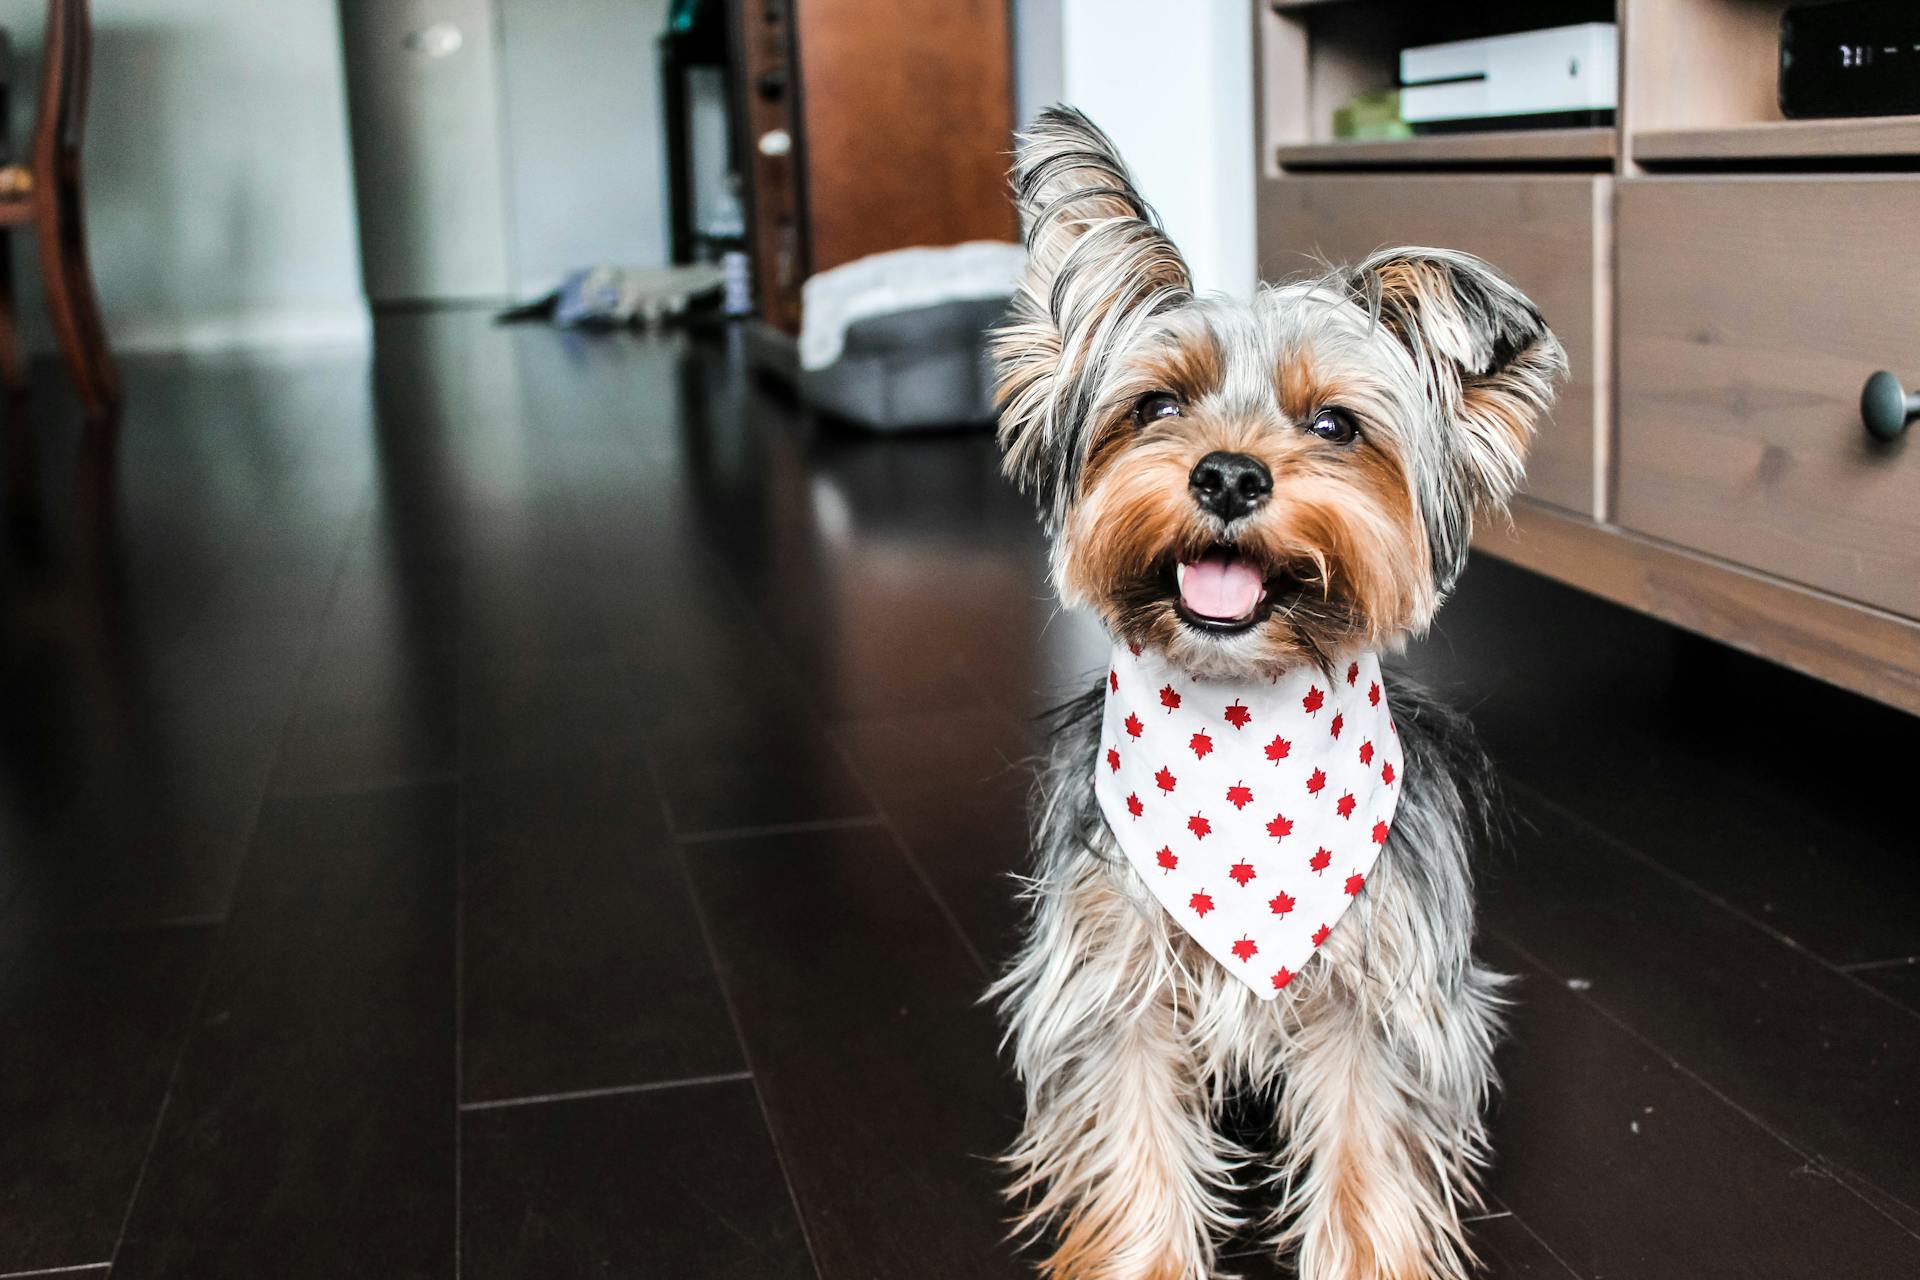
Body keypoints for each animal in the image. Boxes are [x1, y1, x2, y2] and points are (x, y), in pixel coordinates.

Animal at [990, 110, 1559, 1280]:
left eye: (1336, 425)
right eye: (1155, 405)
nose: (1228, 475)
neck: (1243, 716)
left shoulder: (1377, 994)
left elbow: (1365, 1162)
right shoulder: (1113, 981)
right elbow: (1136, 1152)